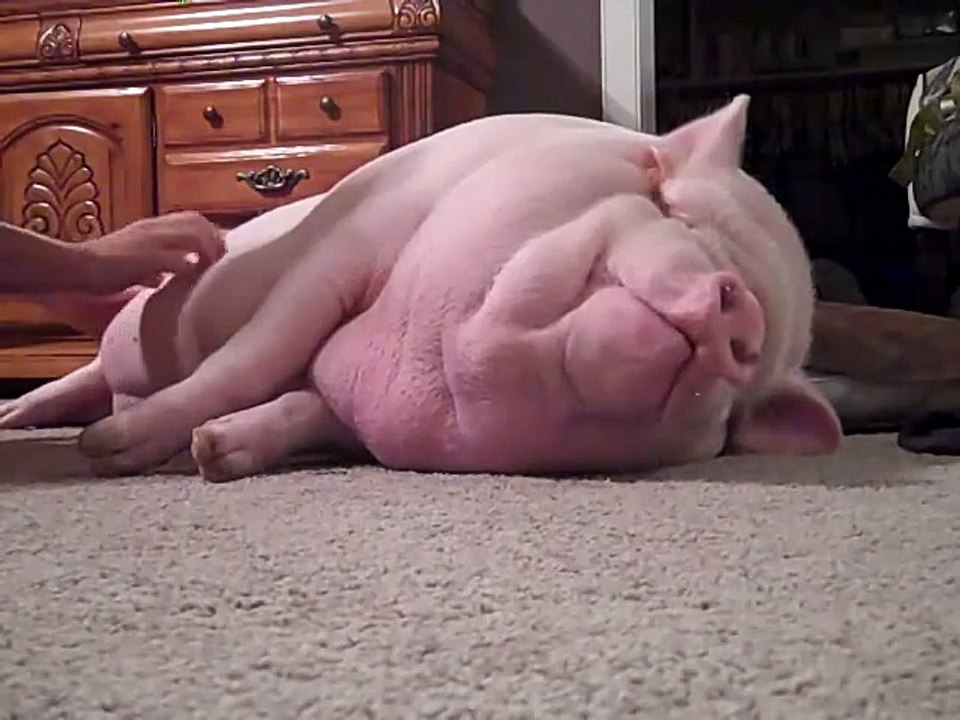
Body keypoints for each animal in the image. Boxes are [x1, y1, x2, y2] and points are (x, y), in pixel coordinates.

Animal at [0, 95, 842, 481]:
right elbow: (253, 357)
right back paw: (33, 419)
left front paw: (216, 453)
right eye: (667, 203)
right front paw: (112, 452)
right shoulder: (345, 249)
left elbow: (302, 404)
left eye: (748, 393)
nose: (738, 305)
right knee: (83, 371)